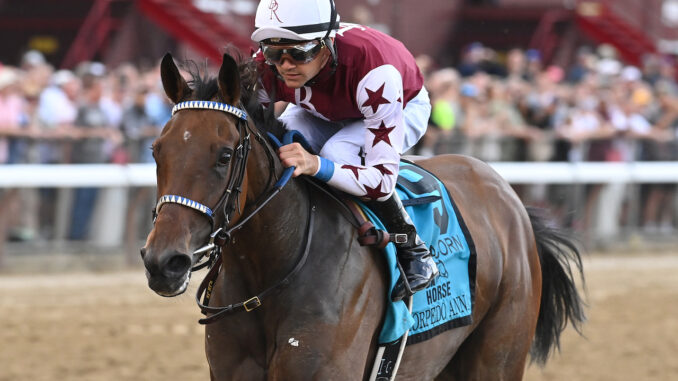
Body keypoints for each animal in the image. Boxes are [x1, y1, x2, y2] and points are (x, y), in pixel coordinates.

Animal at [141, 51, 588, 380]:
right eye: (156, 151)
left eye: (224, 155)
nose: (164, 262)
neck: (269, 271)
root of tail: (509, 197)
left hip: (498, 354)